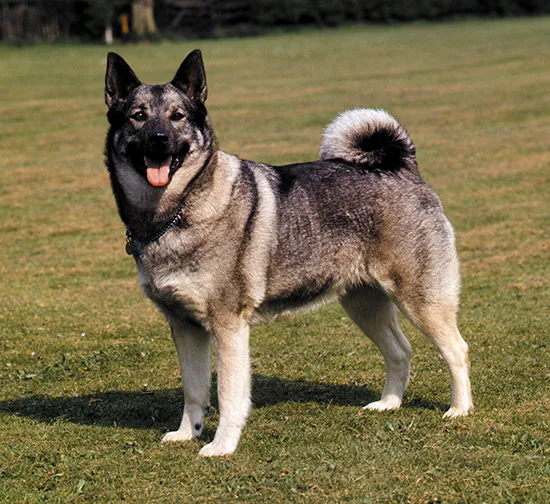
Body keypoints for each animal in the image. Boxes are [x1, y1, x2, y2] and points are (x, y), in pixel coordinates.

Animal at [103, 50, 474, 456]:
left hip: (421, 300)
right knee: (400, 350)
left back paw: (460, 410)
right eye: (138, 115)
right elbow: (195, 391)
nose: (159, 140)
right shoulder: (185, 327)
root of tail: (403, 168)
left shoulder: (228, 326)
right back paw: (389, 403)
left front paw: (222, 445)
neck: (175, 212)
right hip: (364, 304)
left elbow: (229, 394)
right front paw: (188, 432)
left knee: (456, 349)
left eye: (178, 116)